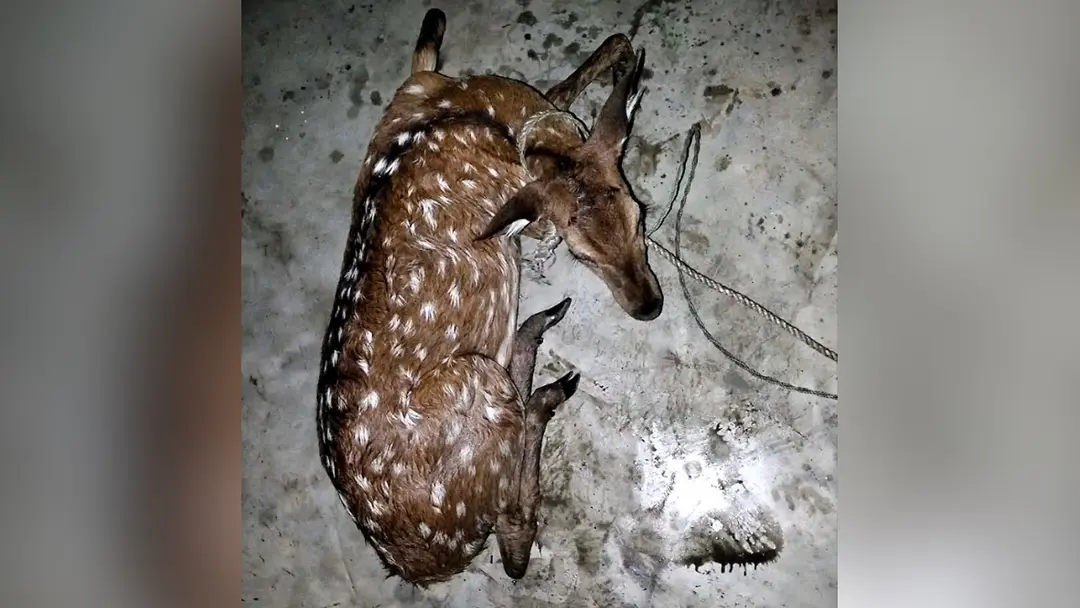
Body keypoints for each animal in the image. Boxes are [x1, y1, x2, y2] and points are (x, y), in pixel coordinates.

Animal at [315, 8, 664, 586]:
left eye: (643, 217)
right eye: (582, 256)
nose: (650, 308)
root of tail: (423, 566)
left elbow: (563, 90)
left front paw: (620, 58)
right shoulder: (533, 216)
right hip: (474, 382)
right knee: (514, 532)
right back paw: (545, 373)